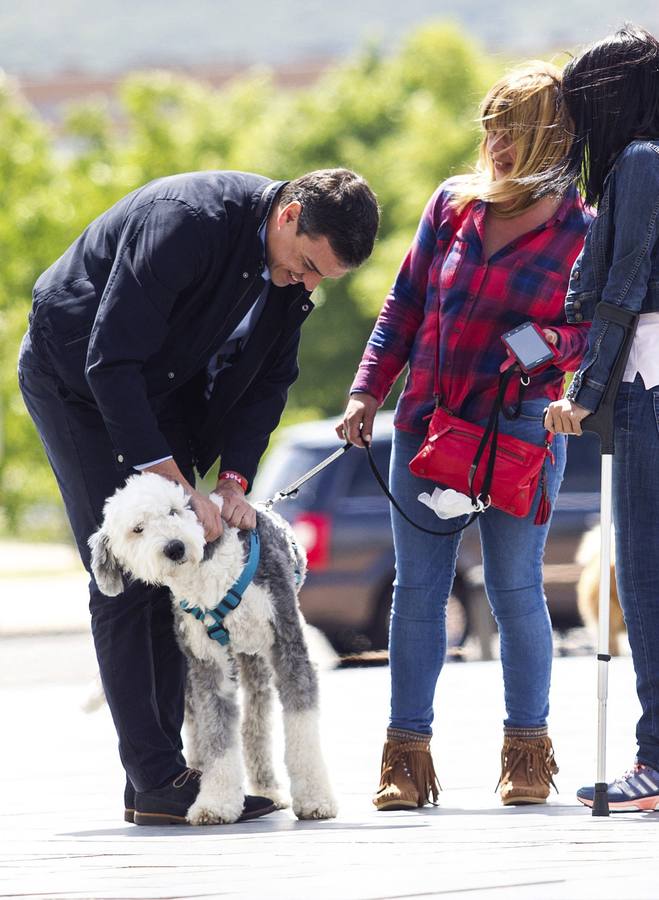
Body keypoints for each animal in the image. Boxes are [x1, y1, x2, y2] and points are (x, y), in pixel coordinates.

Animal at [89, 474, 336, 828]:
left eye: (174, 511)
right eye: (138, 529)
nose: (174, 547)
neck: (208, 576)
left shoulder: (288, 646)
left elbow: (302, 728)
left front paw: (316, 799)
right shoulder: (209, 664)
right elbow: (216, 733)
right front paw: (216, 803)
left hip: (256, 657)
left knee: (256, 720)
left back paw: (269, 790)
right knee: (203, 727)